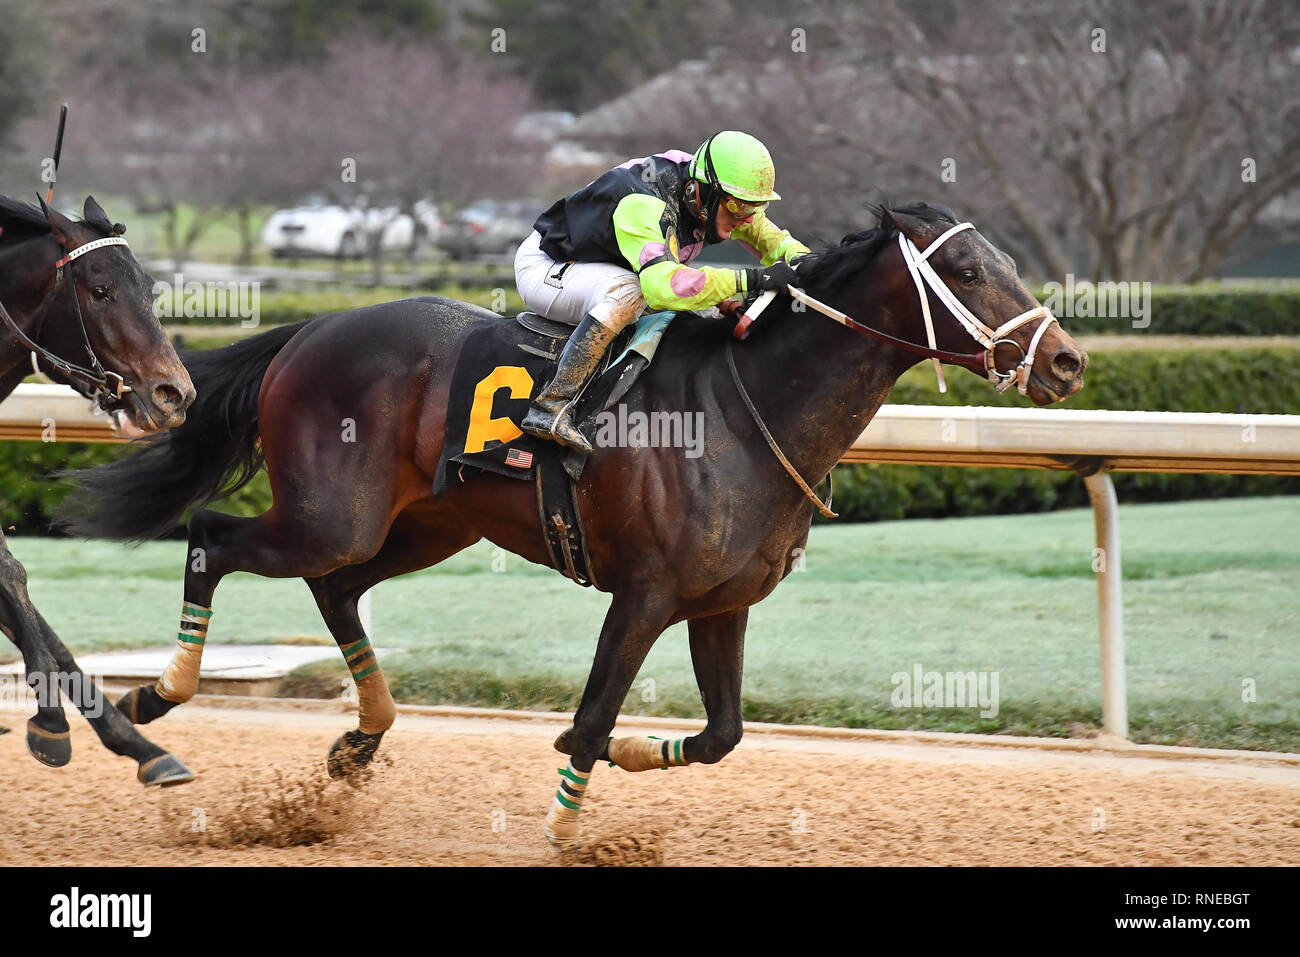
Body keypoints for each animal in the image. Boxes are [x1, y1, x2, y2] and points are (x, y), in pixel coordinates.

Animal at [0, 195, 195, 785]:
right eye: (102, 290)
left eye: (151, 289)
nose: (175, 394)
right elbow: (11, 575)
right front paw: (50, 722)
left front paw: (140, 745)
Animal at [58, 201, 1086, 842]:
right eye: (965, 269)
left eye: (1005, 261)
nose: (1068, 361)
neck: (749, 405)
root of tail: (307, 331)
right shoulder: (645, 593)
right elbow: (593, 712)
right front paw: (563, 820)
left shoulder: (723, 603)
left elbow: (720, 733)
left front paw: (629, 753)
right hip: (330, 512)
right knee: (212, 535)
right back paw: (159, 694)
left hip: (424, 524)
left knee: (335, 585)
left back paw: (361, 738)